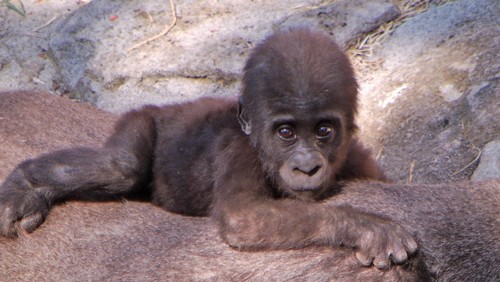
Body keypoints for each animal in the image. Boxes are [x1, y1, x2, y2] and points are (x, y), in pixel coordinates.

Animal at [0, 28, 414, 268]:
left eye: (323, 130)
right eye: (286, 133)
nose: (307, 167)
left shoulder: (358, 157)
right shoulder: (241, 153)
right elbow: (244, 217)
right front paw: (365, 226)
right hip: (143, 118)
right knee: (121, 166)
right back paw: (28, 184)